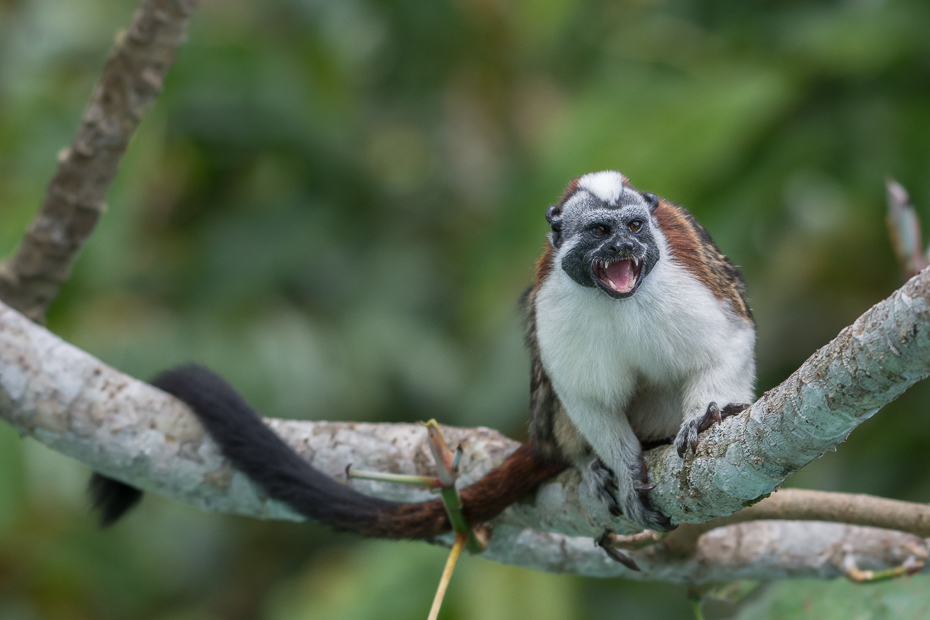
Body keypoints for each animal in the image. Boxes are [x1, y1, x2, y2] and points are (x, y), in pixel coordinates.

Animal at [89, 172, 752, 540]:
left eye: (634, 228)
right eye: (599, 233)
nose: (621, 249)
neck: (621, 297)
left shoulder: (686, 284)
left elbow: (727, 343)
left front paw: (702, 417)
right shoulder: (556, 306)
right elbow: (584, 394)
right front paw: (619, 463)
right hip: (549, 421)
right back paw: (583, 461)